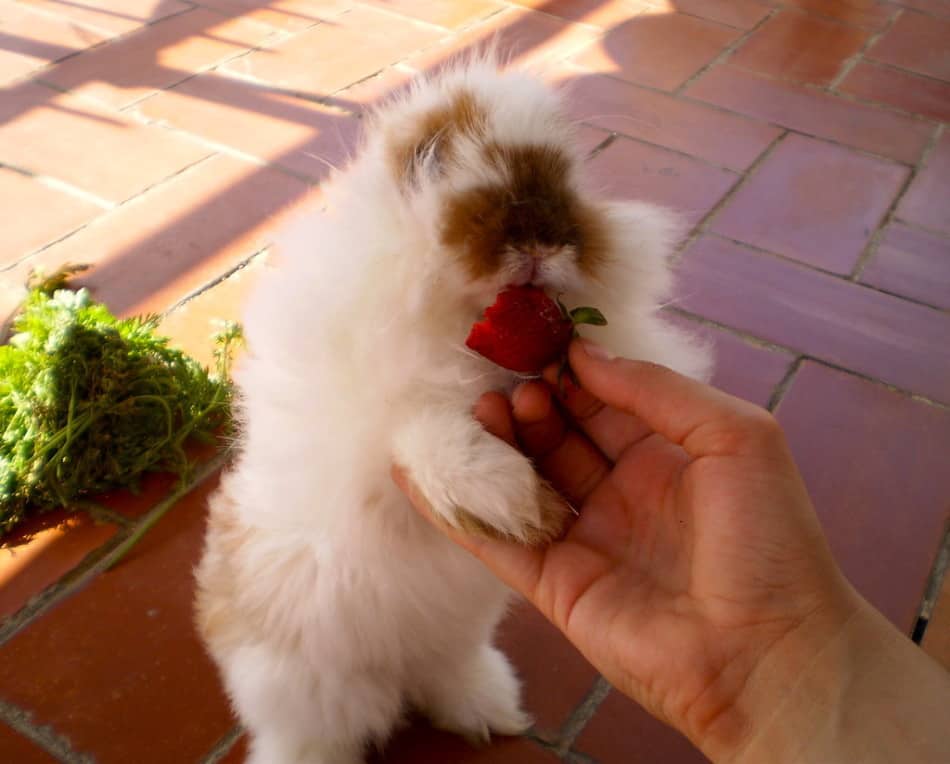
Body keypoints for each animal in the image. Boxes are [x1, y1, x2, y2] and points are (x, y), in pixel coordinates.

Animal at [195, 56, 712, 760]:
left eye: (568, 177)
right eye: (439, 162)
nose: (542, 240)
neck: (456, 325)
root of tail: (396, 669)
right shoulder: (380, 427)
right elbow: (429, 438)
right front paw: (520, 504)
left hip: (454, 640)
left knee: (445, 676)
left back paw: (492, 713)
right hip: (303, 684)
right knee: (308, 738)